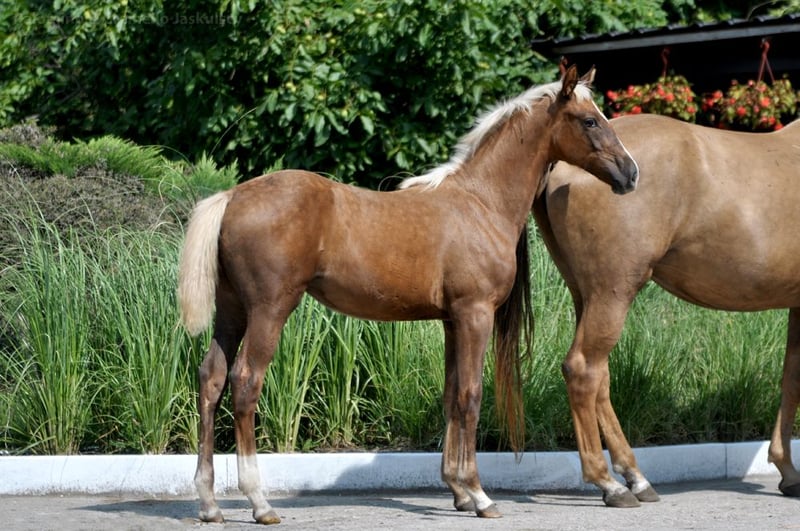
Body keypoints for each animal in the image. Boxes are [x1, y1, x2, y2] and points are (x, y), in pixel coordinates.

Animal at [177, 65, 638, 525]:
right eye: (590, 121)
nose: (630, 173)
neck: (480, 202)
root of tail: (233, 196)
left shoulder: (452, 320)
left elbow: (451, 394)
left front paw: (458, 491)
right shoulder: (475, 314)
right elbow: (471, 396)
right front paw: (480, 495)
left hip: (232, 311)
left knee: (211, 378)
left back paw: (210, 504)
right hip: (269, 310)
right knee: (244, 381)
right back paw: (260, 502)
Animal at [534, 112, 800, 508]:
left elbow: (790, 378)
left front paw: (788, 472)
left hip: (587, 295)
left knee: (599, 376)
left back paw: (635, 477)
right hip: (613, 292)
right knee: (583, 370)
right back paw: (610, 484)